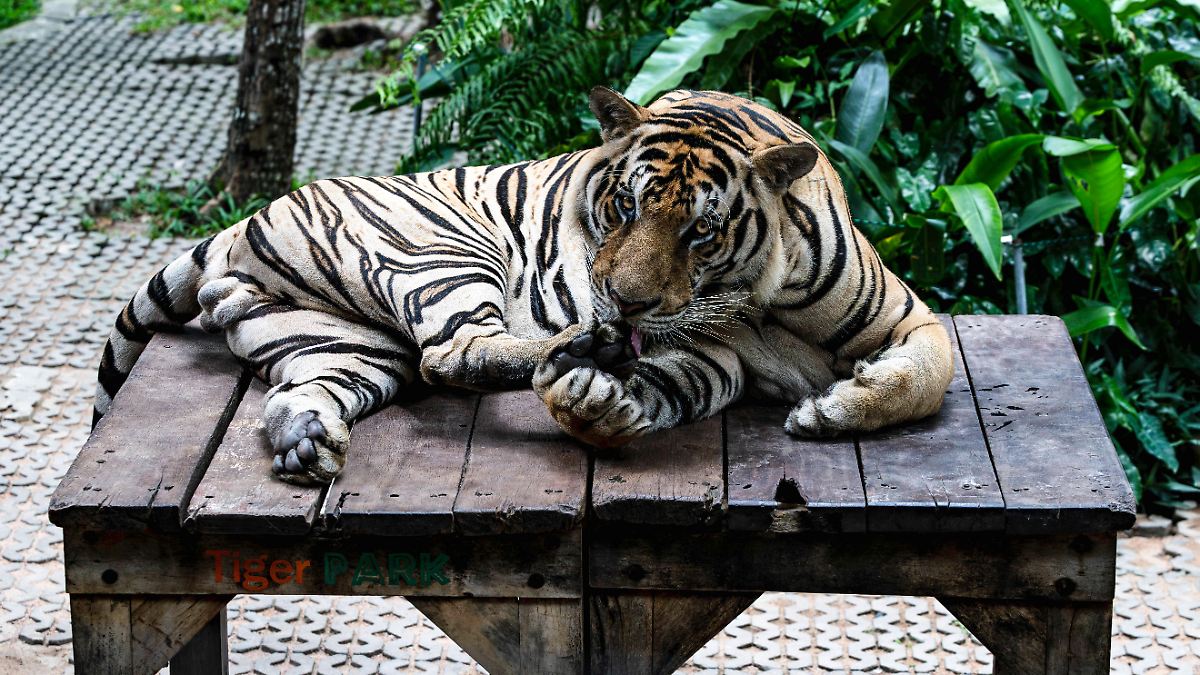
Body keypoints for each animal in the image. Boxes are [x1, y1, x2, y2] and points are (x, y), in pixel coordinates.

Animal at [94, 87, 954, 486]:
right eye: (624, 206)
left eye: (699, 232)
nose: (625, 303)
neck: (756, 297)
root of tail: (245, 218)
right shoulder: (708, 342)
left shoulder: (904, 319)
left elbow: (927, 372)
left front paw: (837, 405)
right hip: (443, 250)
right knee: (456, 352)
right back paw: (581, 343)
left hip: (340, 343)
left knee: (306, 390)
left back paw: (307, 440)